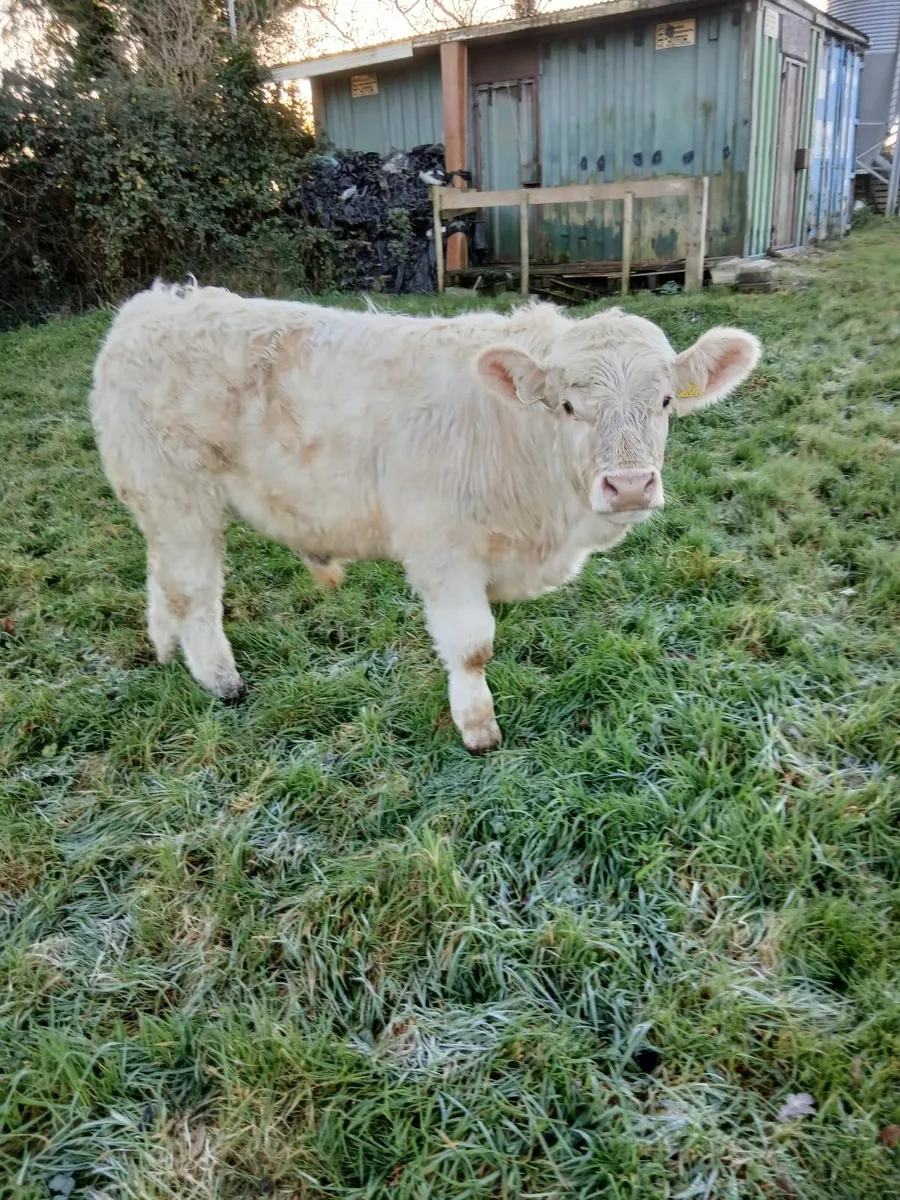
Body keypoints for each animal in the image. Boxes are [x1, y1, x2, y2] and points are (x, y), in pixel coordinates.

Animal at [90, 283, 759, 752]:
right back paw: (220, 679)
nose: (628, 486)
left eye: (666, 401)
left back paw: (165, 650)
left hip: (161, 504)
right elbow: (472, 646)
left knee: (163, 579)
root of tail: (149, 306)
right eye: (569, 406)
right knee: (196, 592)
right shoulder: (443, 548)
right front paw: (478, 728)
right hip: (180, 496)